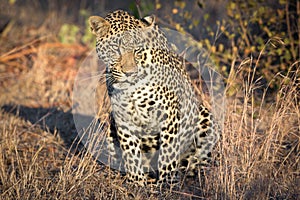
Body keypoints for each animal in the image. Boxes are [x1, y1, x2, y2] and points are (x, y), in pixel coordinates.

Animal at [88, 10, 219, 186]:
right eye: (116, 50)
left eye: (137, 51)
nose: (129, 73)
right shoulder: (123, 116)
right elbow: (130, 150)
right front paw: (136, 181)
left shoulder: (170, 112)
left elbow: (168, 151)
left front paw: (167, 182)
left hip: (205, 115)